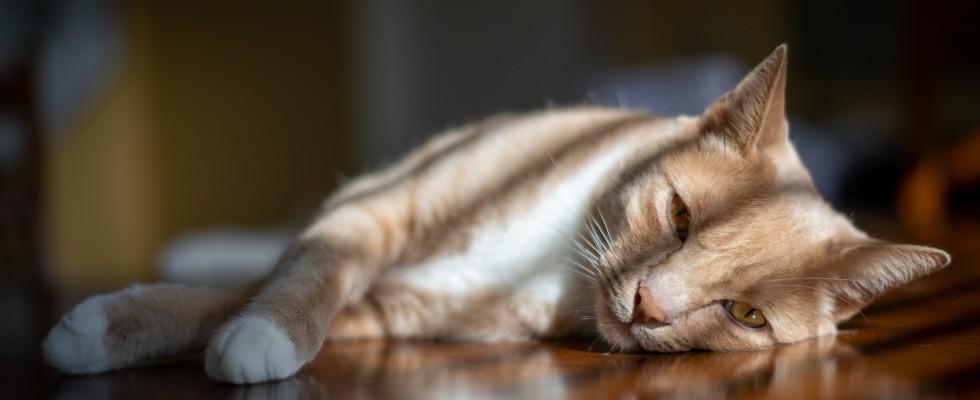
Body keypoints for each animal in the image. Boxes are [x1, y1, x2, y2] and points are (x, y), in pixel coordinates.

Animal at [42, 45, 944, 386]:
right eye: (682, 216)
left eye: (746, 315)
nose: (648, 307)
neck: (555, 255)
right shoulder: (374, 210)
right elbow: (302, 274)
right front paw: (108, 329)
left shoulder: (395, 310)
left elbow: (265, 300)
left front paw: (235, 337)